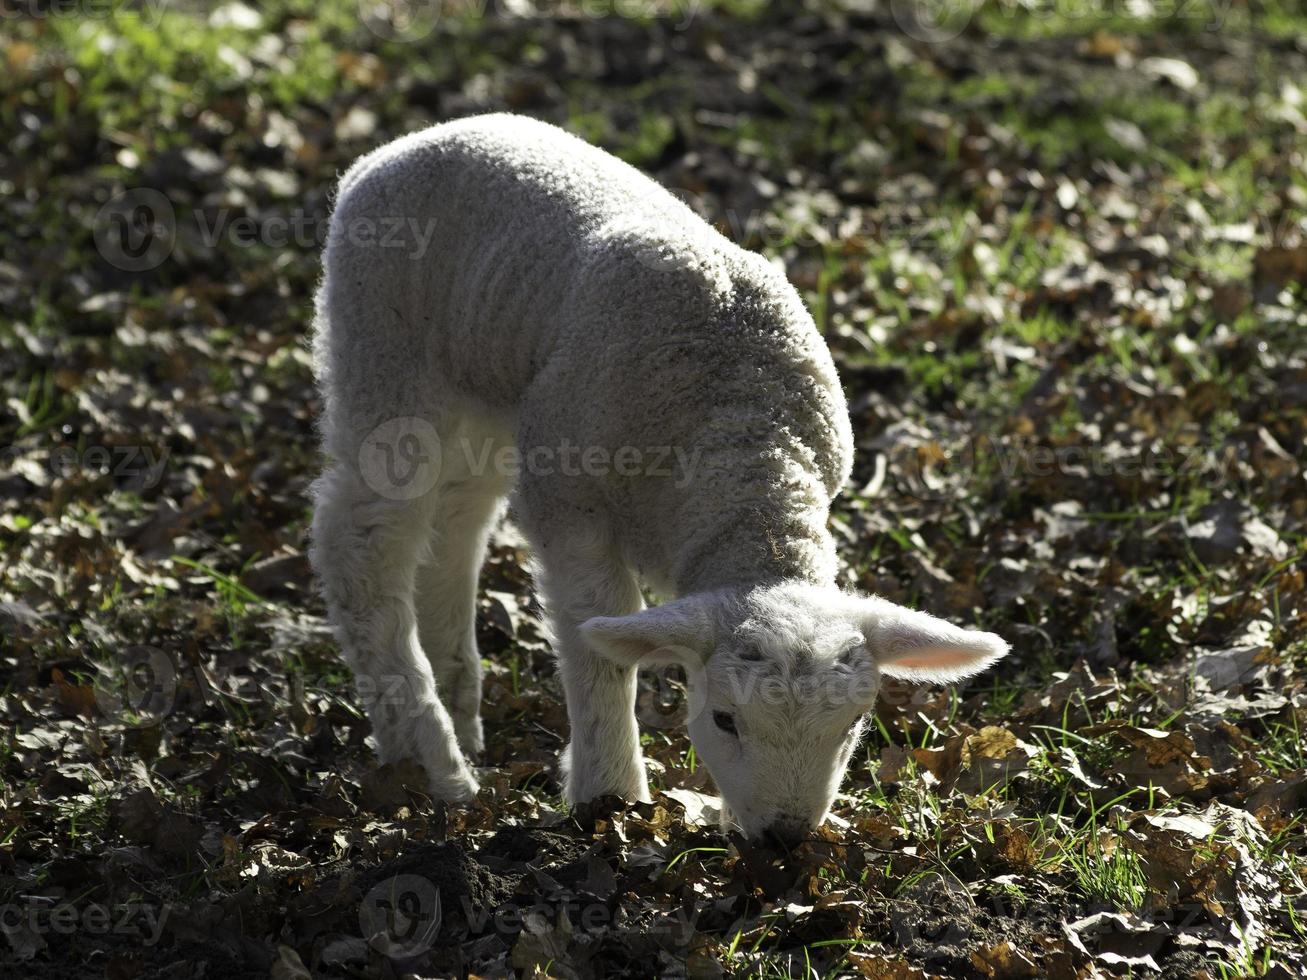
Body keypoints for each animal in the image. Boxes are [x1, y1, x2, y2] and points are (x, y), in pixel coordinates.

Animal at [308, 113, 1009, 846]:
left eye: (852, 727)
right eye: (724, 719)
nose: (784, 837)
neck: (745, 459)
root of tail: (411, 141)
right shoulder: (570, 499)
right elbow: (601, 649)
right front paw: (609, 794)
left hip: (490, 387)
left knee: (455, 525)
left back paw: (458, 716)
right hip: (383, 354)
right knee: (361, 540)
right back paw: (430, 758)